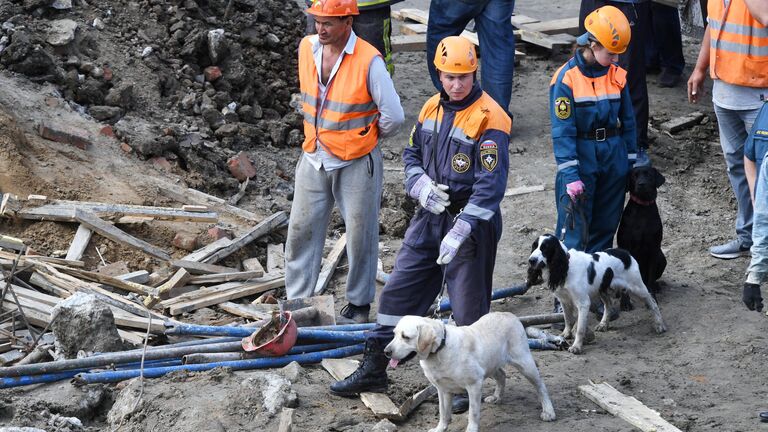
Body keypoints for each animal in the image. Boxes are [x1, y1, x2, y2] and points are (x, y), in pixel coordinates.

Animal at [388, 312, 556, 430]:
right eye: (394, 334)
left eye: (405, 337)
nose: (386, 351)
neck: (440, 350)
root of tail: (510, 315)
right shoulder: (442, 389)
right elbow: (443, 412)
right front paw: (440, 428)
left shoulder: (474, 385)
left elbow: (473, 414)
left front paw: (471, 429)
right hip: (490, 364)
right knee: (502, 375)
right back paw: (497, 397)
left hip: (524, 363)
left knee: (541, 386)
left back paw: (548, 411)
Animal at [528, 235, 664, 352]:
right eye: (534, 246)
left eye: (545, 248)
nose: (531, 260)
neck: (566, 267)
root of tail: (626, 253)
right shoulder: (564, 300)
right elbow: (567, 319)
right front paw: (565, 334)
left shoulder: (583, 303)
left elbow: (580, 328)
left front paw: (576, 347)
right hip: (602, 289)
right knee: (608, 305)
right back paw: (603, 324)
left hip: (637, 288)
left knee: (652, 302)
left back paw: (659, 325)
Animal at [616, 165, 664, 300]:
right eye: (634, 176)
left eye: (649, 175)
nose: (641, 184)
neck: (642, 208)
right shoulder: (625, 245)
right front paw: (625, 301)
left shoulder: (654, 249)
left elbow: (651, 278)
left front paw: (653, 296)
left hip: (662, 257)